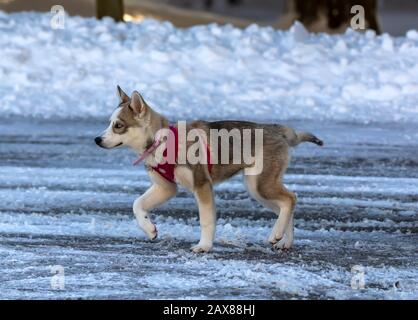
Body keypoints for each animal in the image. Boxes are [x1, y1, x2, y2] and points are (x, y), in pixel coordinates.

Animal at [95, 87, 324, 252]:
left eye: (118, 125)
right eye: (108, 123)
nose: (97, 139)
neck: (162, 142)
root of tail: (277, 128)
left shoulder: (202, 185)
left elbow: (206, 219)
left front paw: (204, 246)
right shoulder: (165, 187)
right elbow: (137, 204)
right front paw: (149, 229)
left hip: (261, 185)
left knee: (290, 199)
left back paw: (276, 235)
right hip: (257, 188)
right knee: (287, 204)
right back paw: (284, 241)